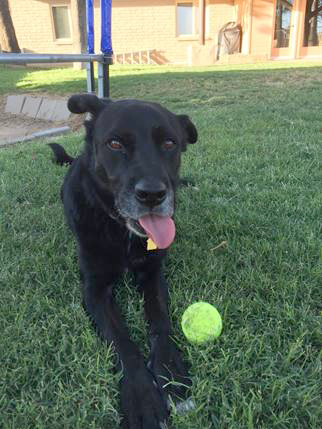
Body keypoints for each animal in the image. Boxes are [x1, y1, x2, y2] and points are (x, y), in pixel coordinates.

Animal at [49, 94, 197, 428]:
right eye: (115, 144)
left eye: (169, 143)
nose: (152, 195)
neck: (121, 233)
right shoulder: (94, 291)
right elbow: (122, 341)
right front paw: (143, 397)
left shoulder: (153, 274)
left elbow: (160, 321)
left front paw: (170, 372)